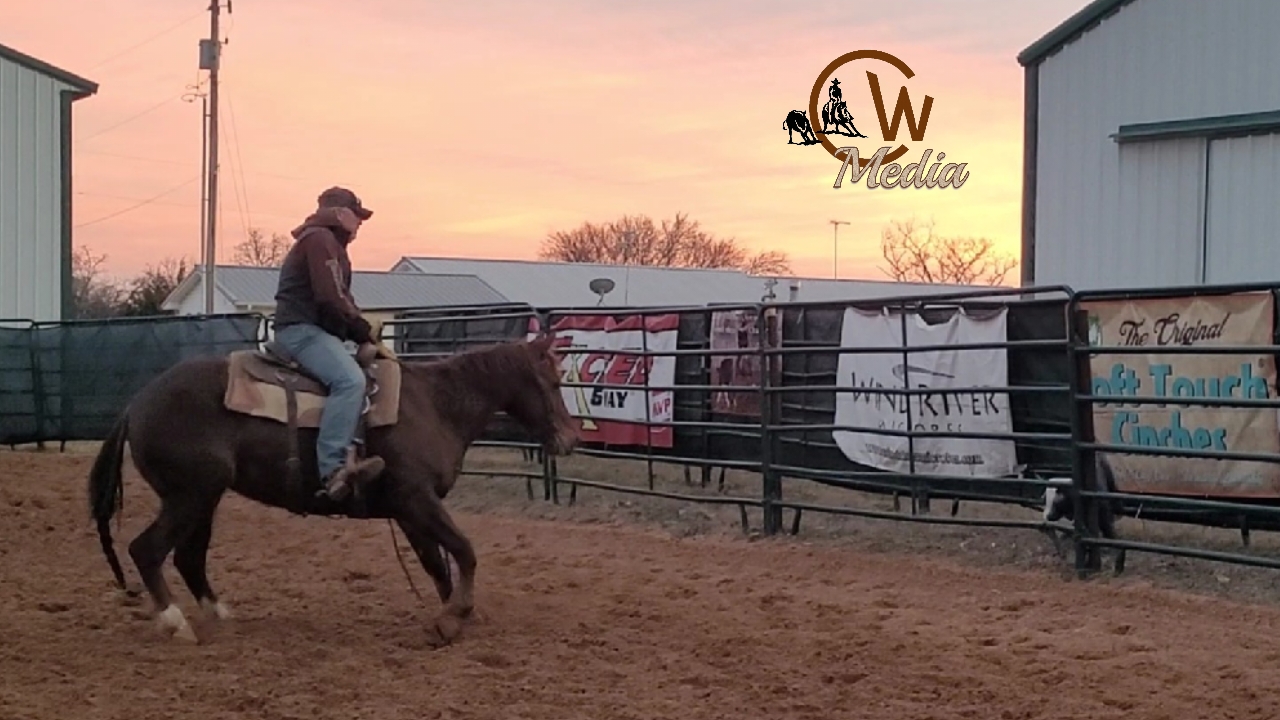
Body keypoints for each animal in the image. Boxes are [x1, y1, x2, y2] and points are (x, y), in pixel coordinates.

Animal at [87, 334, 581, 646]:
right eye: (554, 381)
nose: (569, 438)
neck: (436, 405)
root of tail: (136, 404)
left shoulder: (409, 510)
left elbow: (437, 565)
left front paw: (456, 616)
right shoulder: (417, 500)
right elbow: (464, 551)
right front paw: (451, 621)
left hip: (203, 498)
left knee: (189, 557)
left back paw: (218, 615)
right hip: (189, 496)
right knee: (147, 550)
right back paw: (175, 624)